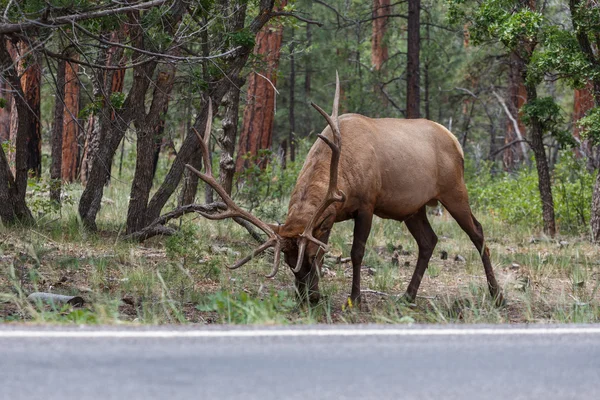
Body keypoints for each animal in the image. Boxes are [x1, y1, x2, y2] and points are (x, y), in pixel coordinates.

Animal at [186, 74, 502, 306]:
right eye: (288, 262)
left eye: (308, 257)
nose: (307, 297)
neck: (341, 174)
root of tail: (455, 141)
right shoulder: (328, 216)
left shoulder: (367, 204)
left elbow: (356, 252)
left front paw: (355, 298)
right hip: (413, 208)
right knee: (428, 241)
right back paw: (407, 296)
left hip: (454, 190)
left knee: (478, 232)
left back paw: (497, 294)